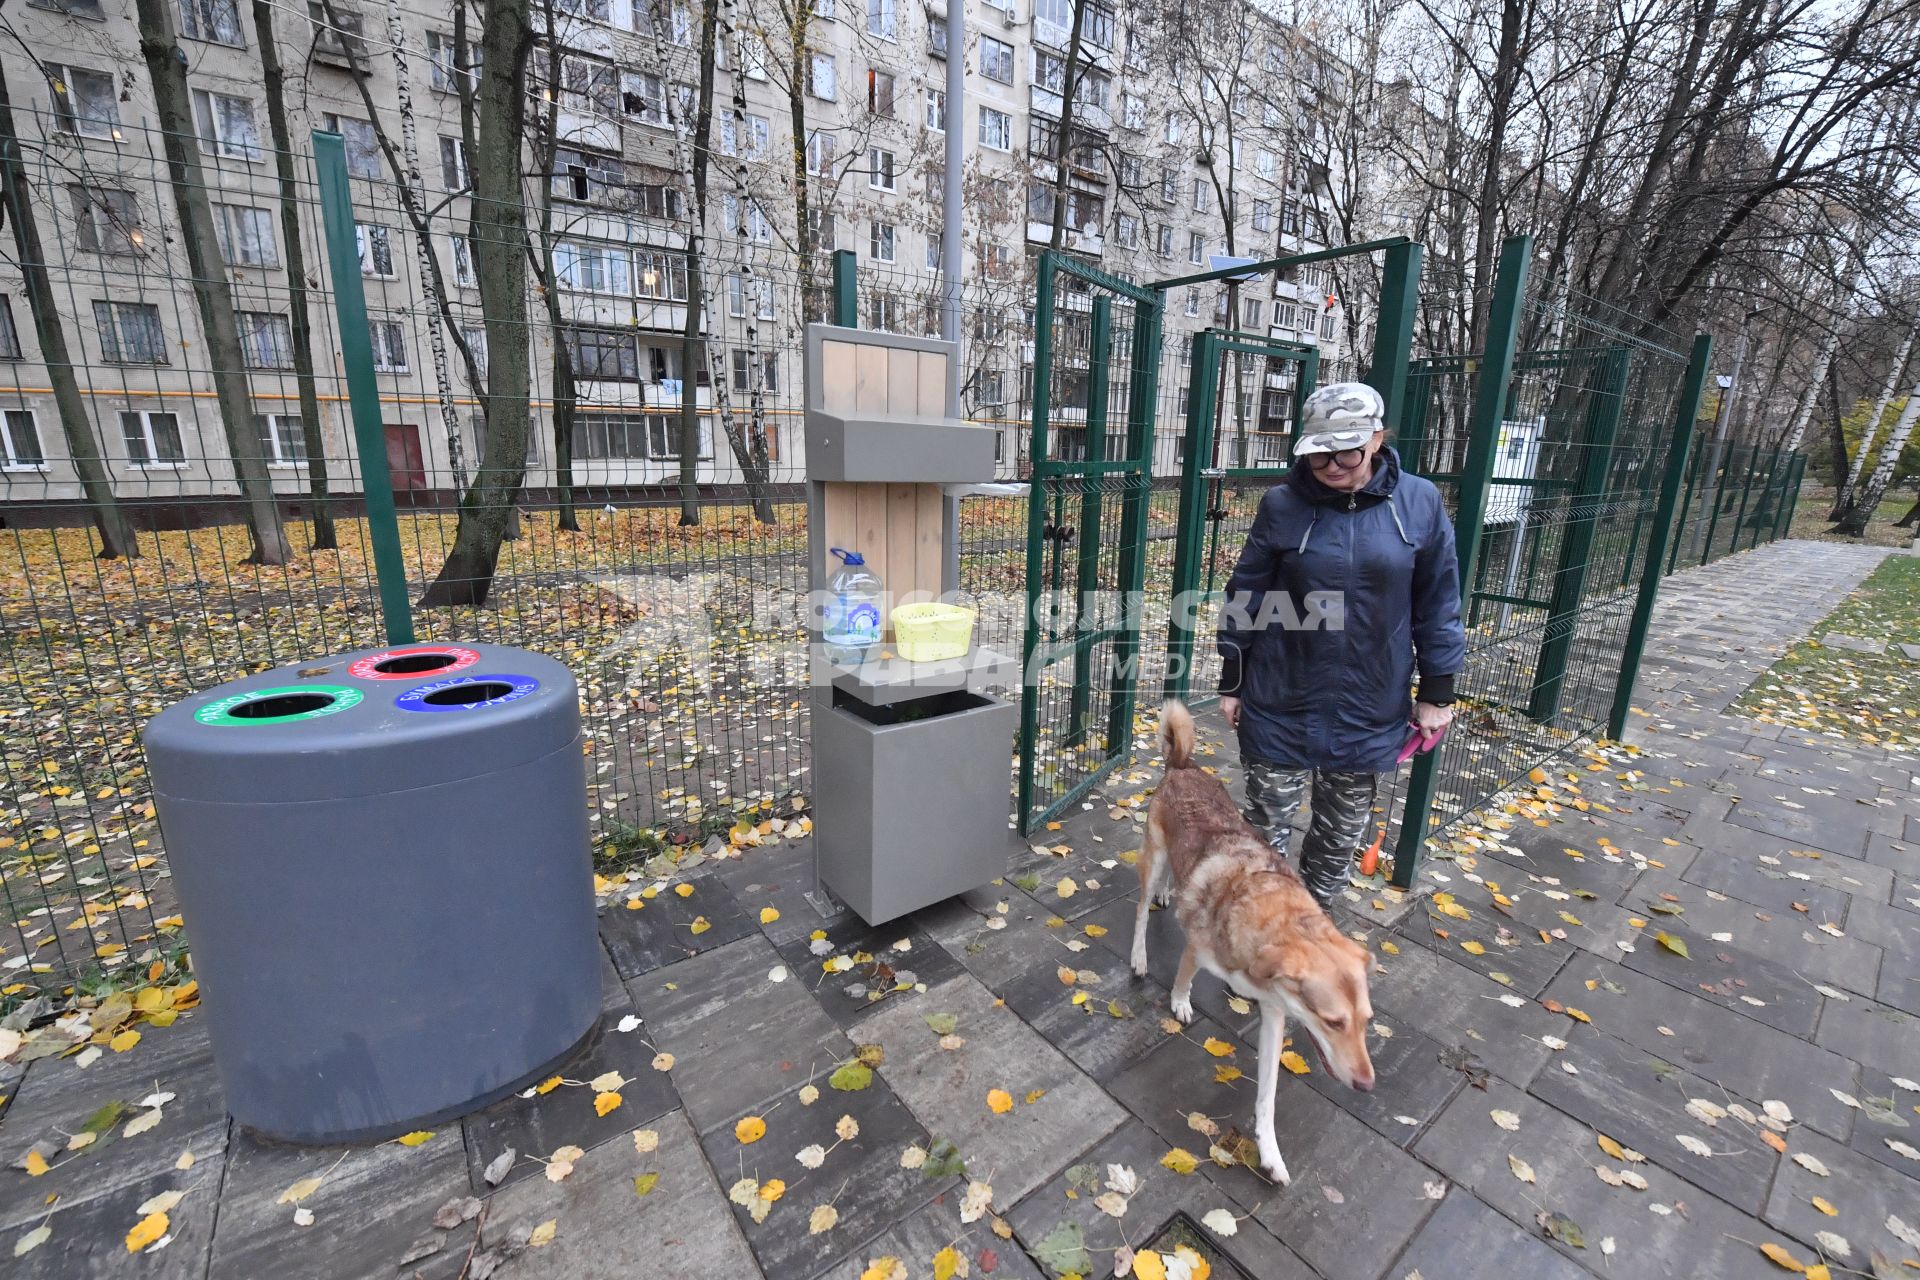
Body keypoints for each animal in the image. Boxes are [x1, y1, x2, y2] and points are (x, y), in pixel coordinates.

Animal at [1121, 706, 1382, 1189]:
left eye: (1365, 1022)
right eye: (1334, 1022)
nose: (1366, 1085)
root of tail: (1182, 766)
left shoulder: (1276, 1015)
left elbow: (1267, 1098)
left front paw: (1271, 1155)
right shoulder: (1196, 950)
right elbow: (1183, 979)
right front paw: (1180, 1004)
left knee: (1168, 886)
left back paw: (1169, 895)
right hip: (1153, 857)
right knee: (1142, 911)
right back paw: (1139, 957)